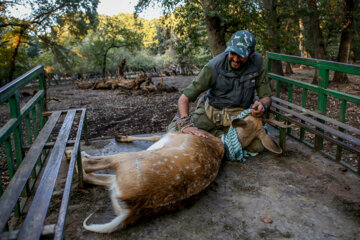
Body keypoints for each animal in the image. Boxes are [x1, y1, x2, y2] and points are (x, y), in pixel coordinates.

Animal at [70, 114, 282, 232]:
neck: (221, 142)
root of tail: (132, 209)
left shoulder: (172, 134)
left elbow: (154, 135)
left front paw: (121, 136)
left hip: (127, 160)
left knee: (90, 167)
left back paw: (73, 153)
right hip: (116, 182)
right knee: (92, 177)